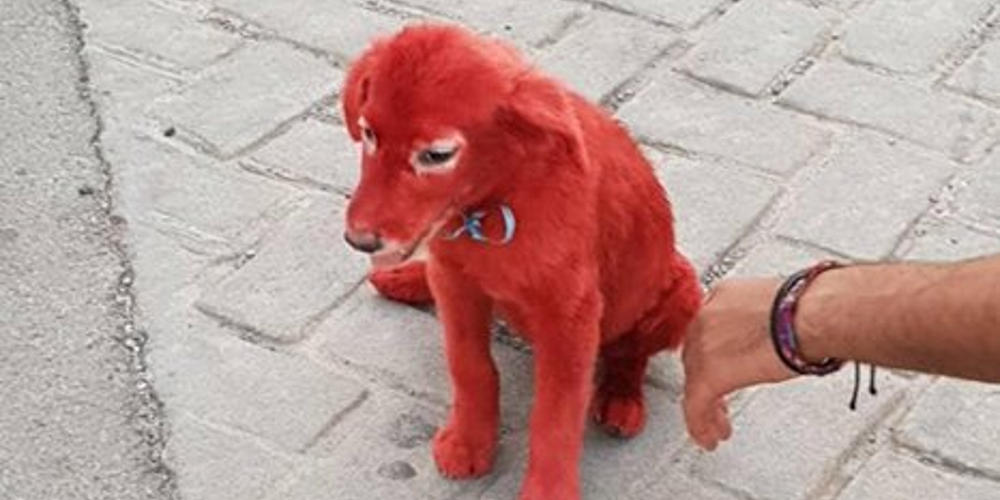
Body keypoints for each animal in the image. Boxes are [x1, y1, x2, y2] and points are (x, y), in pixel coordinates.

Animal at [341, 24, 701, 500]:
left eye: (436, 155)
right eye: (368, 133)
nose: (358, 240)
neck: (495, 204)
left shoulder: (570, 318)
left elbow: (555, 416)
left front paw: (548, 489)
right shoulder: (455, 283)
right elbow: (469, 365)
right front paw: (469, 442)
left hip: (681, 292)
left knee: (628, 352)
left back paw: (620, 398)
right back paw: (404, 277)